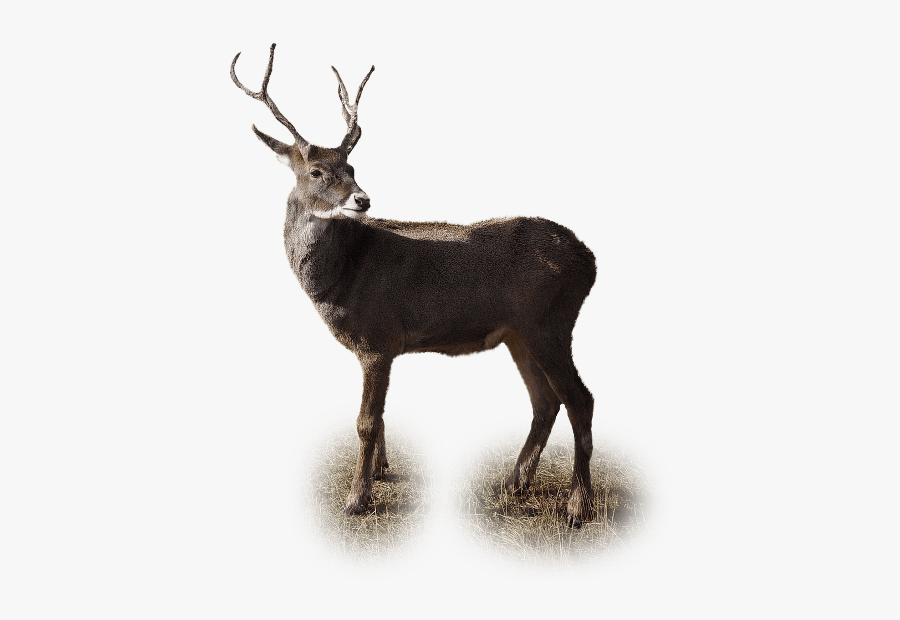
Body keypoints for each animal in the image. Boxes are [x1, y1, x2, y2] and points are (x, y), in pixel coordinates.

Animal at [231, 44, 598, 526]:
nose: (363, 199)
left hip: (550, 321)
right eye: (316, 172)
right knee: (546, 402)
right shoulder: (378, 346)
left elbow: (366, 421)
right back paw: (514, 484)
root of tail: (590, 259)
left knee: (580, 399)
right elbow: (381, 418)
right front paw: (380, 473)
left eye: (351, 165)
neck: (341, 276)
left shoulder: (378, 337)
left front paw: (356, 499)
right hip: (519, 332)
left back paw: (577, 506)